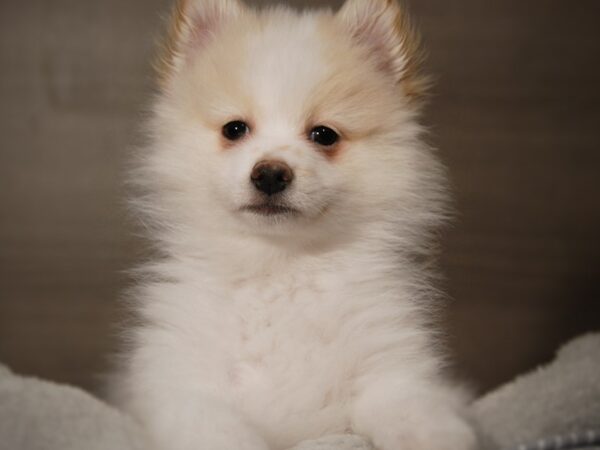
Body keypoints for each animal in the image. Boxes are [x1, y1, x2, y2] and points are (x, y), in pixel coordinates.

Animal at [112, 0, 478, 450]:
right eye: (234, 129)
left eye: (324, 135)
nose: (270, 173)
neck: (281, 266)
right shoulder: (183, 384)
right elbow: (221, 432)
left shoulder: (387, 362)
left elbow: (407, 406)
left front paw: (436, 434)